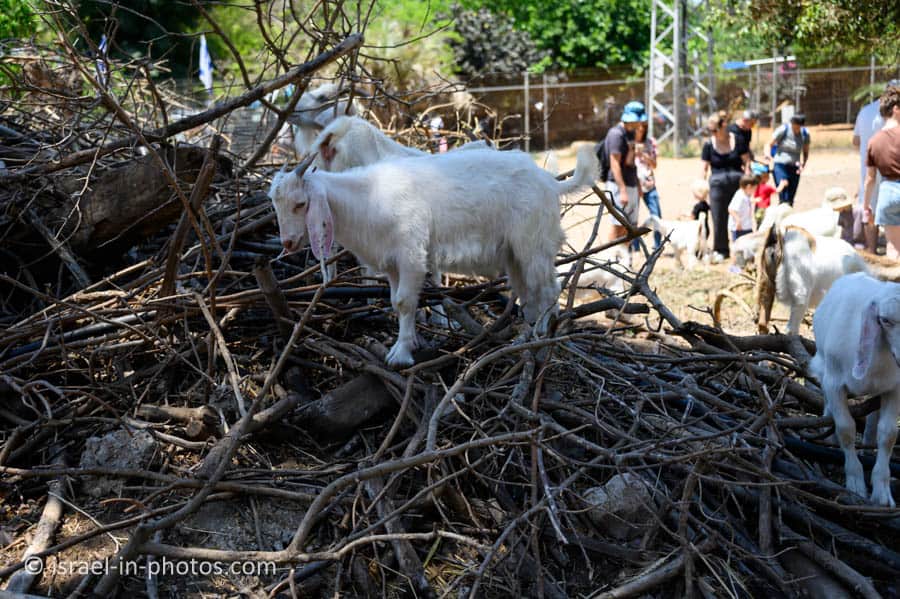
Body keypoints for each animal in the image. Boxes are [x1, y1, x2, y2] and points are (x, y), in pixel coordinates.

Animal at [270, 146, 598, 366]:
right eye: (275, 203)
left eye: (300, 204)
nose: (288, 242)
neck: (368, 198)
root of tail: (551, 182)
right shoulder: (392, 262)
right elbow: (395, 301)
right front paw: (412, 341)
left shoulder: (411, 254)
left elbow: (404, 302)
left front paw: (400, 355)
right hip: (515, 253)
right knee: (528, 291)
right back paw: (524, 333)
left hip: (534, 244)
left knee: (549, 289)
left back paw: (542, 334)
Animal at [809, 272, 900, 506]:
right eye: (885, 320)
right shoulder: (834, 383)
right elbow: (846, 429)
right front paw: (856, 484)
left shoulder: (894, 388)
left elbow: (888, 434)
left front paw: (882, 492)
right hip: (823, 366)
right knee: (827, 403)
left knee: (873, 419)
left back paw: (868, 445)